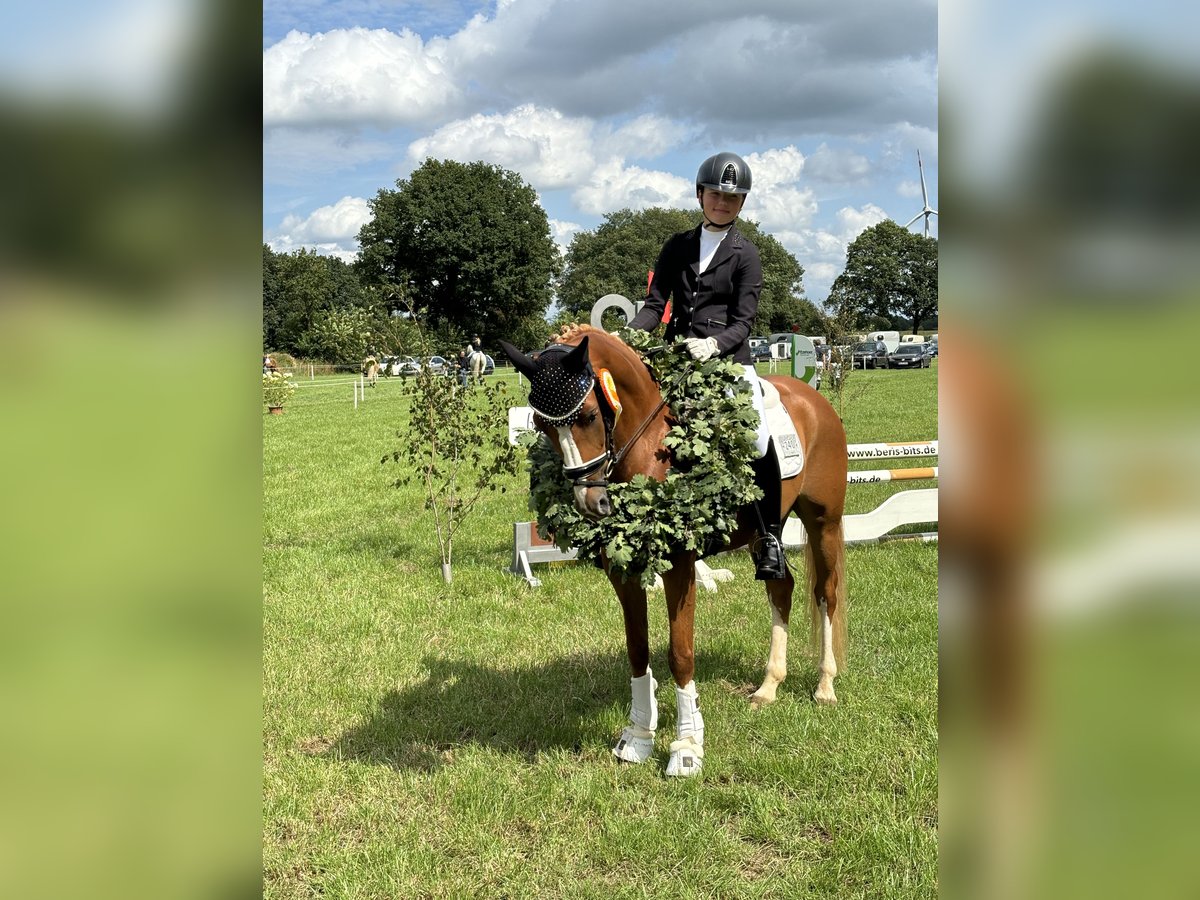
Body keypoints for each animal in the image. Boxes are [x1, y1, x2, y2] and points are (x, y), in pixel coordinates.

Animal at [500, 324, 848, 778]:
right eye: (542, 425)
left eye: (589, 416)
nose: (590, 504)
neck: (652, 443)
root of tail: (814, 397)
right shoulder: (623, 569)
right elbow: (637, 650)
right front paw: (637, 737)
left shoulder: (680, 568)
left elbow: (680, 654)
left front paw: (687, 746)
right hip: (764, 531)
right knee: (781, 587)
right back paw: (769, 686)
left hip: (823, 522)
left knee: (826, 593)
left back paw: (825, 685)